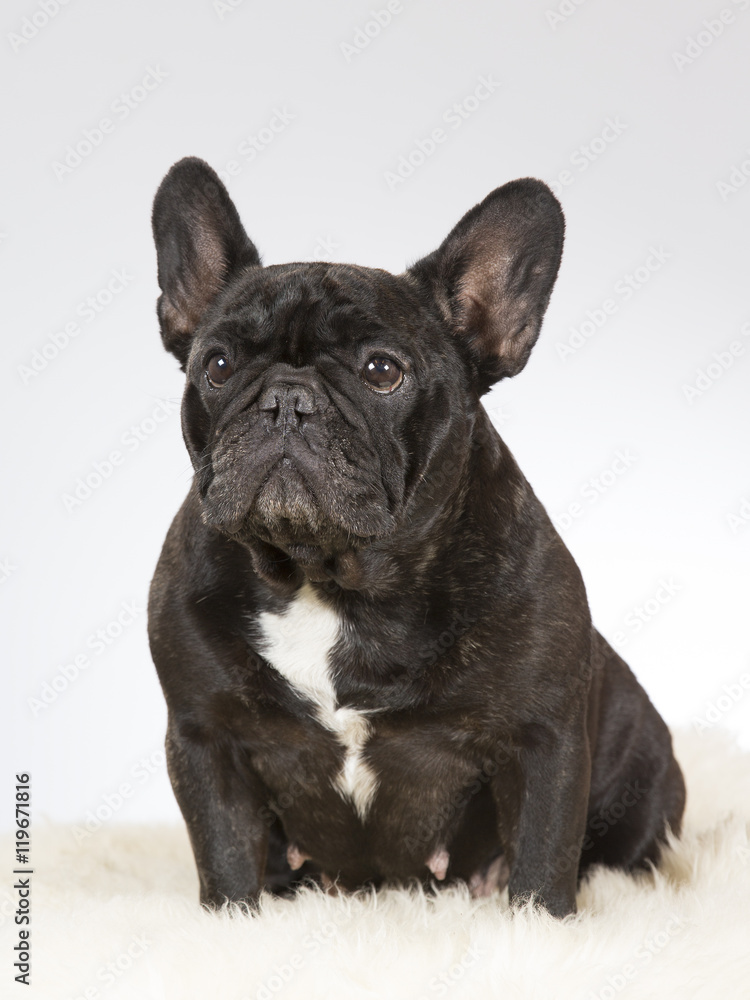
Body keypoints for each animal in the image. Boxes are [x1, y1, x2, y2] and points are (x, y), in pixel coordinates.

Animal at [148, 158, 688, 916]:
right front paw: (233, 921)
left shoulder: (543, 742)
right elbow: (225, 862)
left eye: (382, 372)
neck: (328, 581)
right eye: (218, 366)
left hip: (642, 769)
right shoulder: (206, 736)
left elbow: (543, 865)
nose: (287, 400)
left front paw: (539, 928)